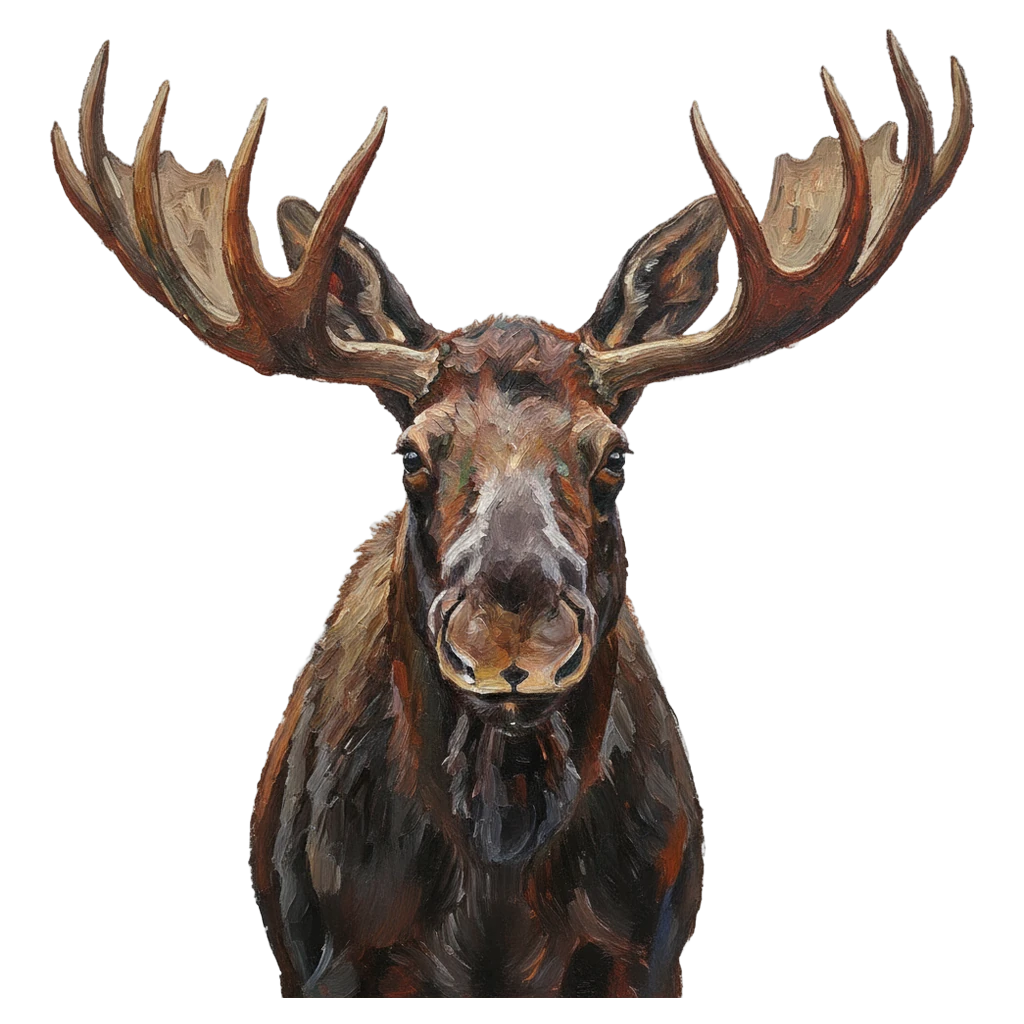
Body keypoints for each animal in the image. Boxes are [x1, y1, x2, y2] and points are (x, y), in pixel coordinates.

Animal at [51, 34, 971, 999]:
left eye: (615, 454)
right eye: (412, 453)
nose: (510, 629)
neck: (499, 879)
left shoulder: (646, 955)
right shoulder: (336, 958)